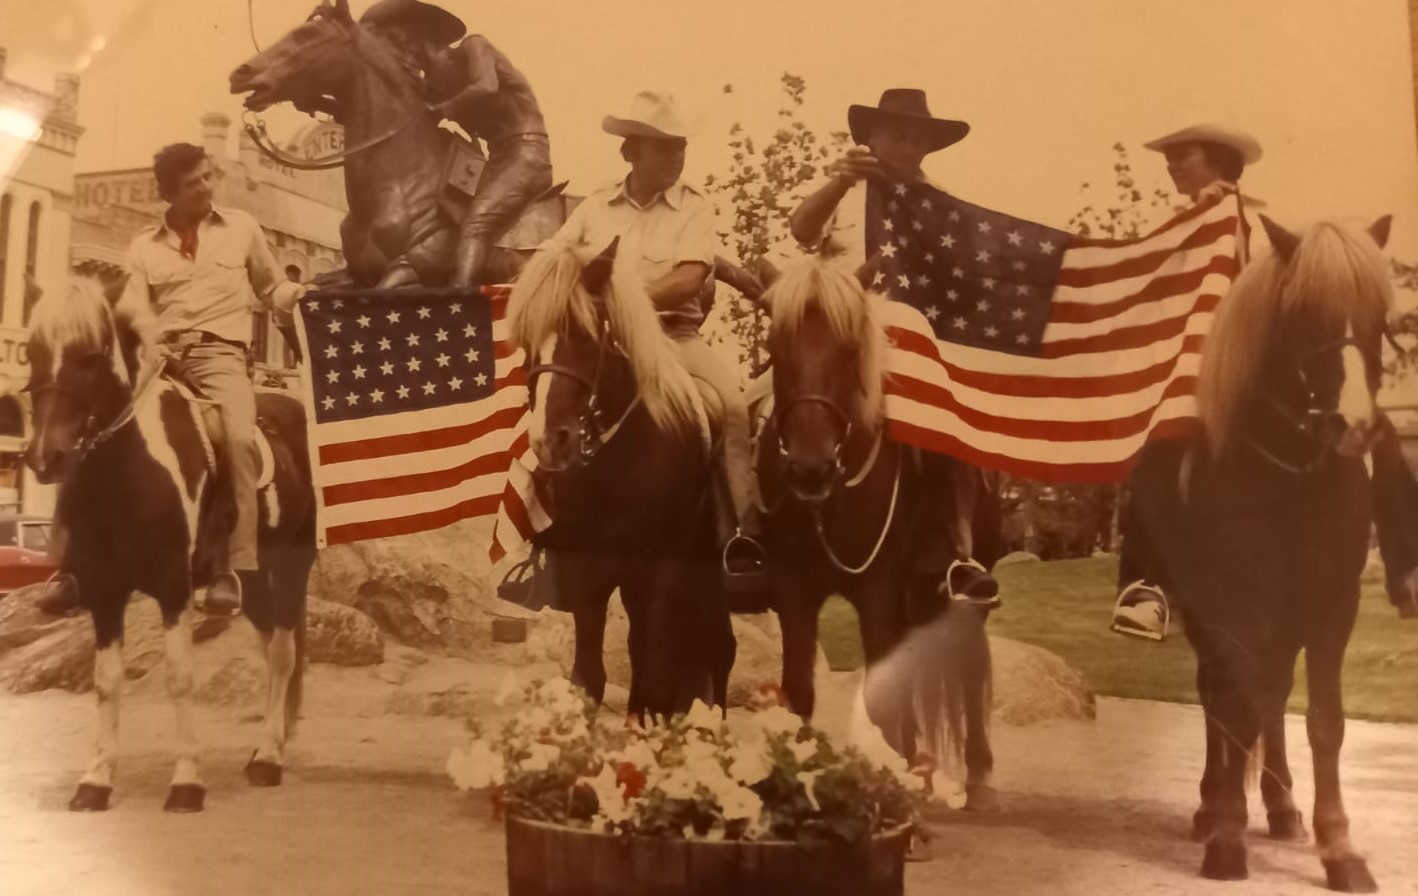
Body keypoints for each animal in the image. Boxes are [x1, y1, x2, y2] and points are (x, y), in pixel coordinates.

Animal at [25, 280, 316, 810]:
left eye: (92, 356)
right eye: (34, 352)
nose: (45, 457)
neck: (129, 469)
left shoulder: (174, 585)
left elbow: (180, 678)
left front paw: (186, 783)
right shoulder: (104, 590)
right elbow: (106, 683)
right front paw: (95, 781)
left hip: (292, 567)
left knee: (284, 655)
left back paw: (268, 758)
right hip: (252, 581)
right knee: (270, 652)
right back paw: (264, 749)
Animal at [507, 241, 731, 717]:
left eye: (586, 337)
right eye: (528, 343)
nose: (550, 441)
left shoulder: (664, 565)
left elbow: (657, 679)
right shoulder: (587, 567)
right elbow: (589, 677)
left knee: (717, 650)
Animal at [754, 255, 998, 810]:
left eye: (849, 350)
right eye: (776, 348)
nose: (810, 470)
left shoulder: (878, 588)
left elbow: (881, 696)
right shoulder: (793, 588)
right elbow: (799, 690)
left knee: (971, 667)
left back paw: (977, 776)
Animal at [1128, 215, 1395, 890]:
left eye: (1379, 312)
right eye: (1304, 314)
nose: (1353, 425)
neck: (1292, 480)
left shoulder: (1331, 608)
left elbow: (1323, 721)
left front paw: (1339, 849)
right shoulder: (1235, 610)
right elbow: (1234, 711)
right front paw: (1225, 838)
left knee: (1270, 696)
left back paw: (1279, 807)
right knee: (1219, 698)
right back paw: (1211, 807)